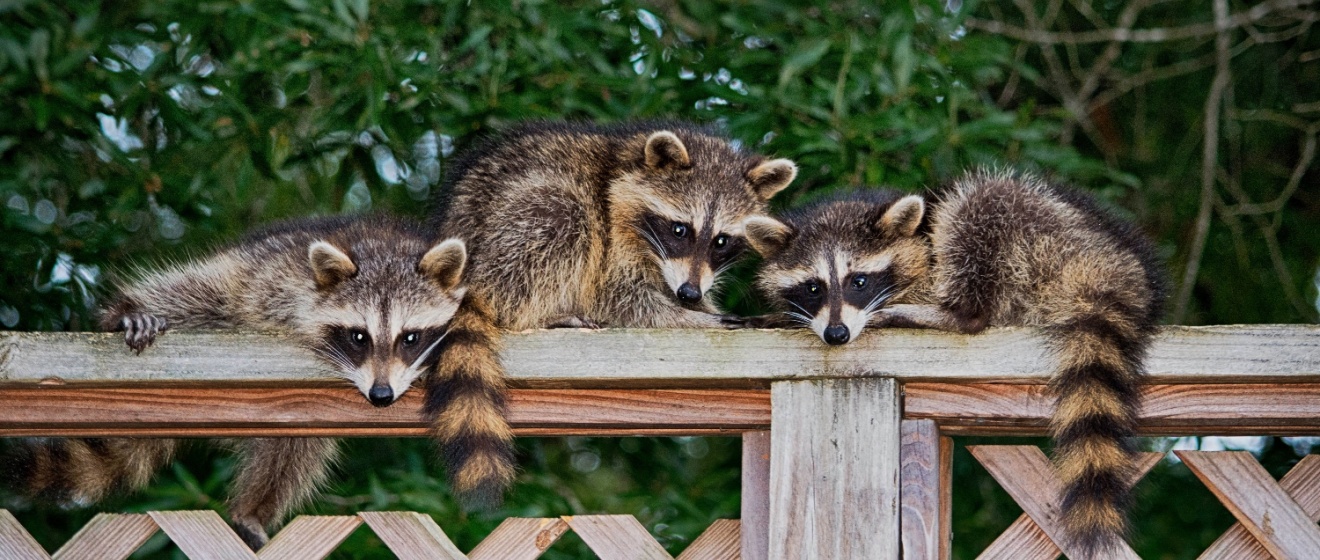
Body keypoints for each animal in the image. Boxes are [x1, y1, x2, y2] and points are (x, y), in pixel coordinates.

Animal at [2, 215, 474, 550]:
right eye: (359, 337)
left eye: (410, 338)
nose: (380, 396)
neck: (384, 248)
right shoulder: (277, 282)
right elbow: (206, 291)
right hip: (256, 266)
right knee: (199, 290)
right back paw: (126, 311)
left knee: (295, 450)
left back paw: (254, 507)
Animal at [748, 170, 1166, 557]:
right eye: (813, 287)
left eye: (859, 281)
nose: (837, 334)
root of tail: (1119, 267)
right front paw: (780, 316)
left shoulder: (928, 264)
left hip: (1040, 237)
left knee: (980, 207)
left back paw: (947, 314)